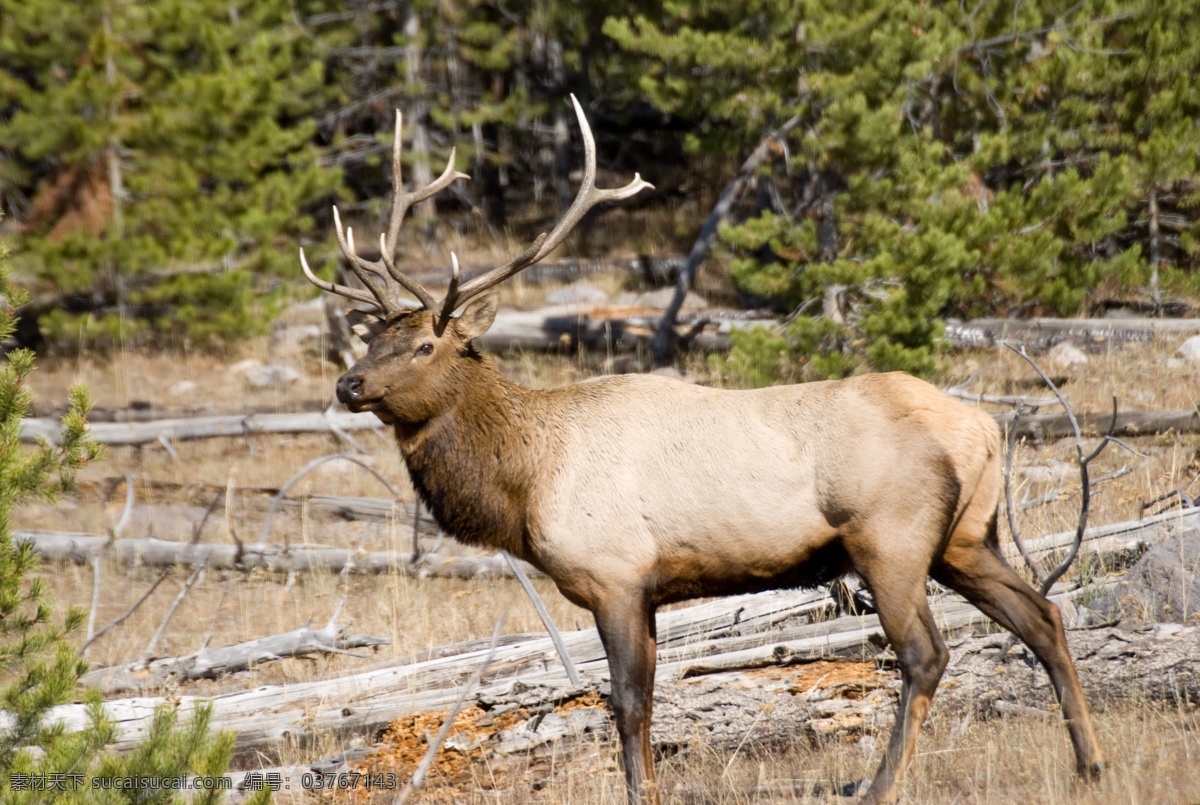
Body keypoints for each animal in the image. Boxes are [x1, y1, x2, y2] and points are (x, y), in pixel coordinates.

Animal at [300, 98, 1104, 805]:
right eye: (375, 338)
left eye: (426, 345)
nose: (348, 382)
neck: (526, 479)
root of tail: (983, 428)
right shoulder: (650, 588)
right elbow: (644, 700)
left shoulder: (615, 573)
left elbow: (628, 700)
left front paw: (640, 792)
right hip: (966, 537)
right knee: (1044, 615)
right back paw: (1089, 762)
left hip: (892, 536)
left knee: (925, 654)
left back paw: (880, 785)